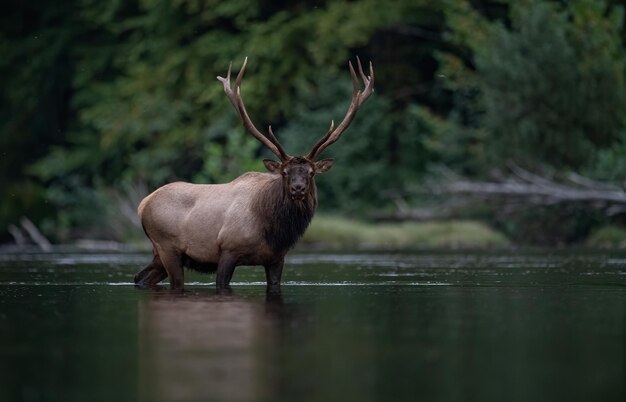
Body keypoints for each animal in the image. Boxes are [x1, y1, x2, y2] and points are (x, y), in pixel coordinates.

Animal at [134, 57, 372, 288]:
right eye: (284, 172)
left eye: (311, 172)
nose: (298, 188)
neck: (274, 232)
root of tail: (143, 204)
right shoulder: (228, 250)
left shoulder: (277, 259)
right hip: (167, 247)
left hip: (160, 256)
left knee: (140, 278)